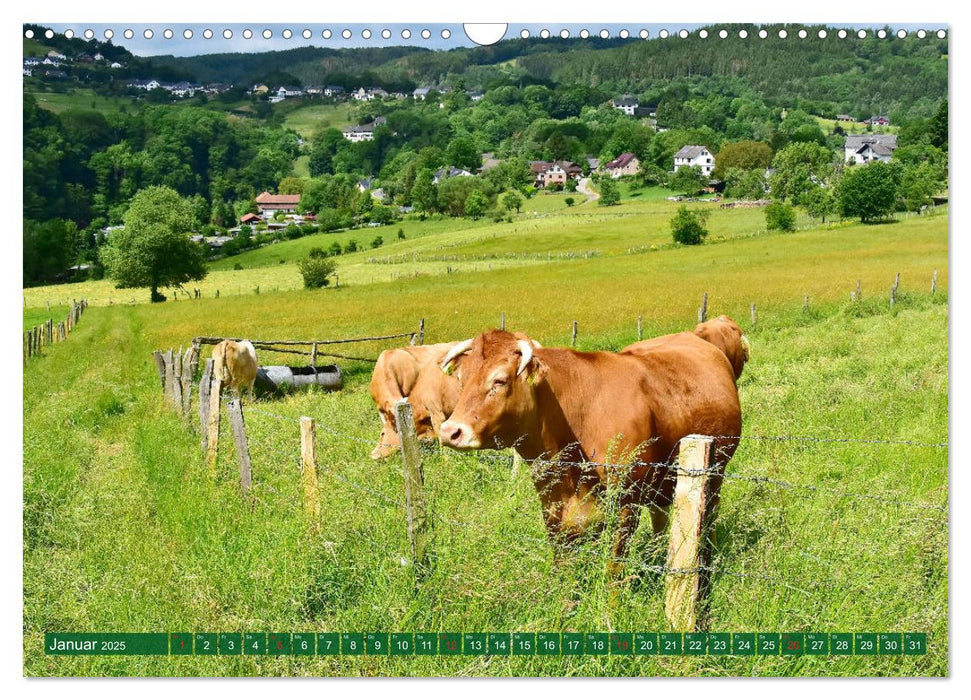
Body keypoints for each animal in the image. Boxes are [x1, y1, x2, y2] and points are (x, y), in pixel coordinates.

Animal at [436, 330, 740, 572]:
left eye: (499, 381)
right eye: (461, 379)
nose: (450, 431)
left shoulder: (625, 505)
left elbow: (614, 569)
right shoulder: (553, 509)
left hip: (714, 473)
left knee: (709, 515)